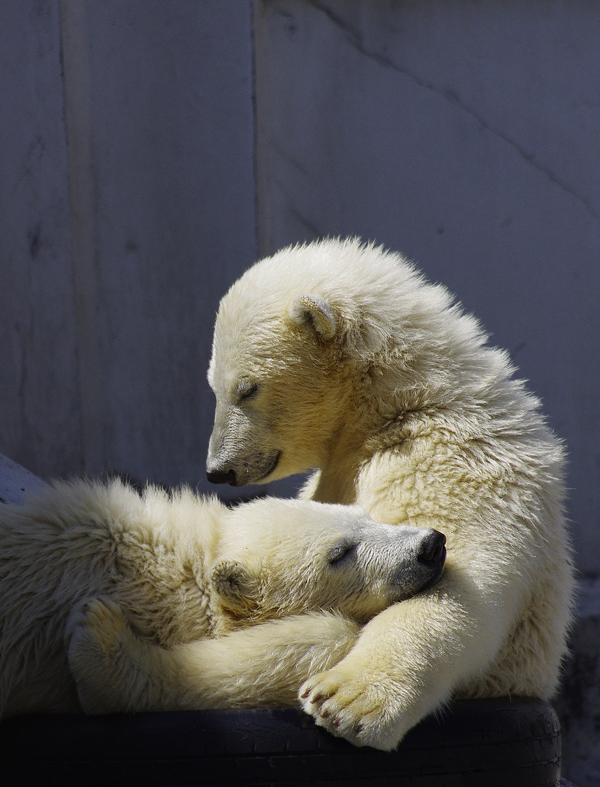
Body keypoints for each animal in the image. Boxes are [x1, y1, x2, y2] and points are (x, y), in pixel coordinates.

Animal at [207, 239, 576, 752]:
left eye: (246, 389)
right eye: (214, 387)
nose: (218, 469)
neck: (404, 401)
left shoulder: (450, 457)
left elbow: (457, 579)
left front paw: (347, 700)